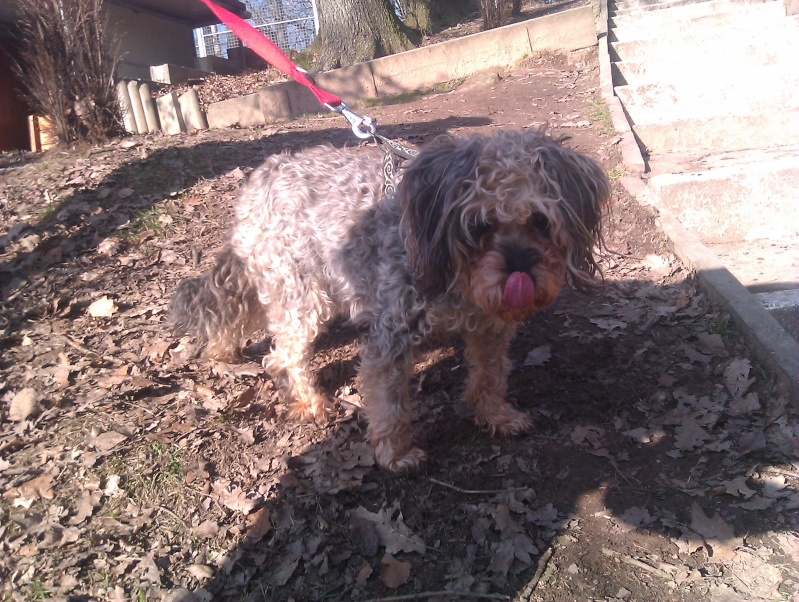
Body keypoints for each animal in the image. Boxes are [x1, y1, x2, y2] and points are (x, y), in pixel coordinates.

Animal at [172, 129, 612, 472]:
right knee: (284, 355)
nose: (521, 276)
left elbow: (491, 375)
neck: (452, 274)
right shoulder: (391, 337)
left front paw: (496, 415)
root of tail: (258, 182)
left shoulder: (490, 328)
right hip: (303, 295)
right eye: (480, 225)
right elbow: (391, 404)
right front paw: (397, 453)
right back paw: (311, 401)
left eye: (541, 221)